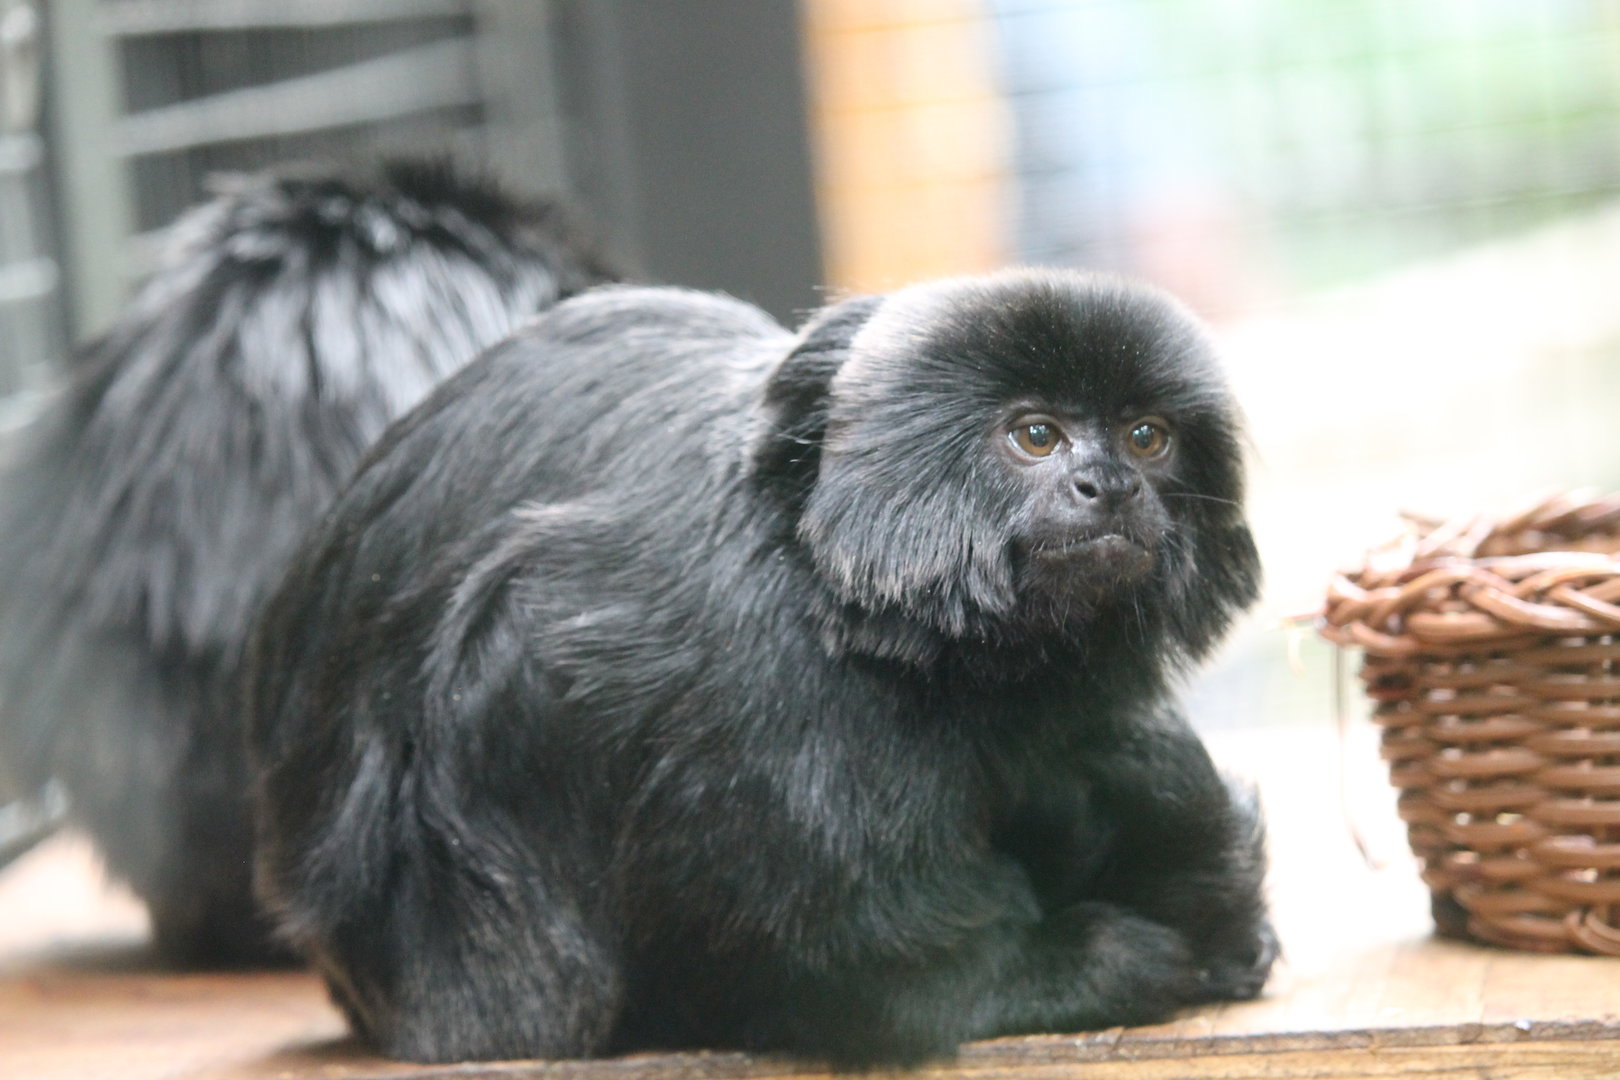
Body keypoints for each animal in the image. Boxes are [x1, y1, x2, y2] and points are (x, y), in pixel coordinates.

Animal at [247, 269, 1274, 1065]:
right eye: (1037, 437)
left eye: (1147, 437)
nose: (1110, 487)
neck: (824, 572)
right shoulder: (757, 662)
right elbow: (863, 947)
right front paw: (1084, 962)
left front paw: (1213, 910)